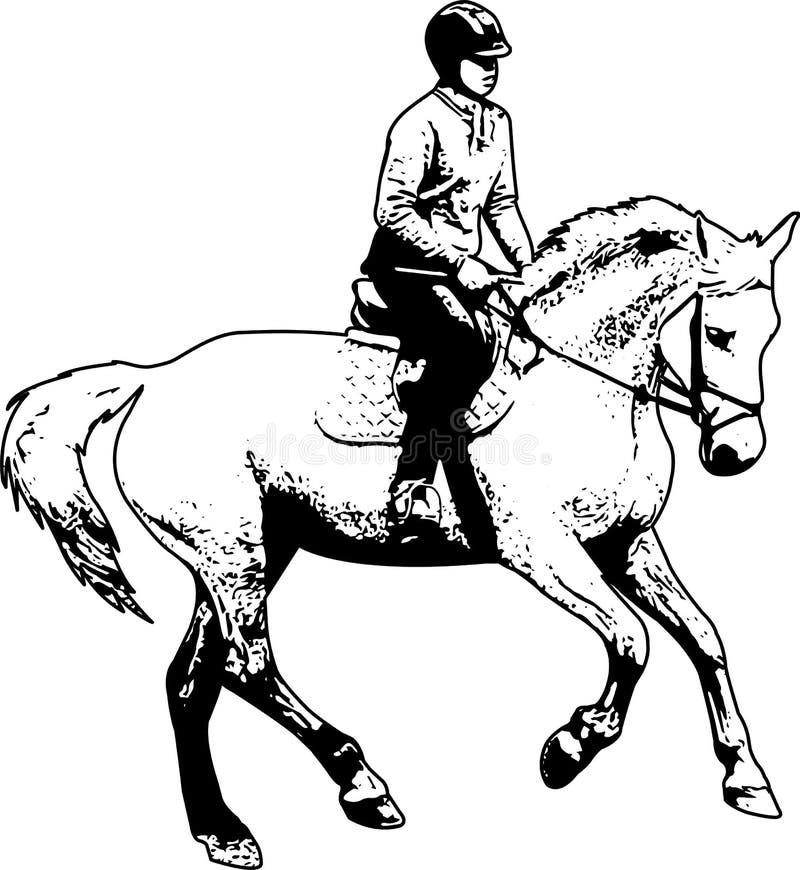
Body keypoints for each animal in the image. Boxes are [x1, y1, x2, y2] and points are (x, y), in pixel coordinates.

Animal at [2, 196, 796, 869]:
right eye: (718, 332)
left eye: (774, 332)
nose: (737, 452)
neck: (585, 390)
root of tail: (153, 377)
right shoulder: (541, 552)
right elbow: (632, 642)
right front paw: (567, 750)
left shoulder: (627, 544)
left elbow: (705, 638)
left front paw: (746, 779)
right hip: (233, 556)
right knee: (247, 669)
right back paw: (361, 784)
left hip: (249, 551)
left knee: (193, 681)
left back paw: (222, 832)